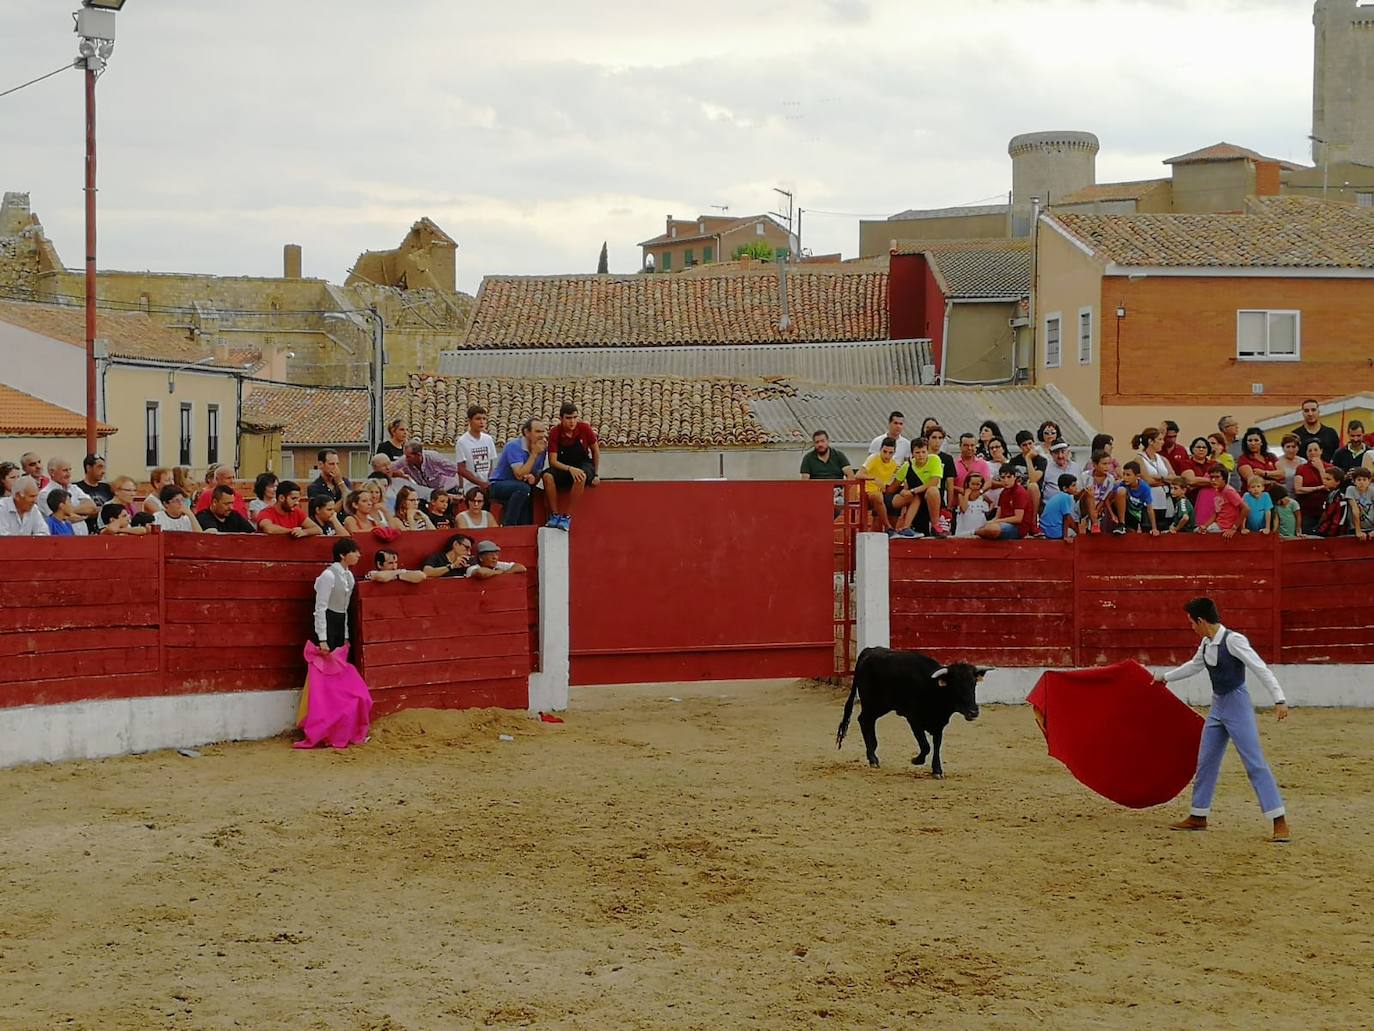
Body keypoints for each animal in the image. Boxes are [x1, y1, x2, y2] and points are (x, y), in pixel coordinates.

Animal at [829, 648, 983, 780]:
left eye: (973, 685)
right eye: (956, 685)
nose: (973, 711)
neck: (932, 687)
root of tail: (869, 650)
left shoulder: (939, 723)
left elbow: (936, 745)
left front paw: (937, 770)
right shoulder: (913, 719)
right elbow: (926, 746)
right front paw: (916, 760)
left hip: (881, 706)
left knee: (867, 721)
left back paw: (873, 753)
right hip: (872, 703)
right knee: (864, 720)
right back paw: (873, 758)